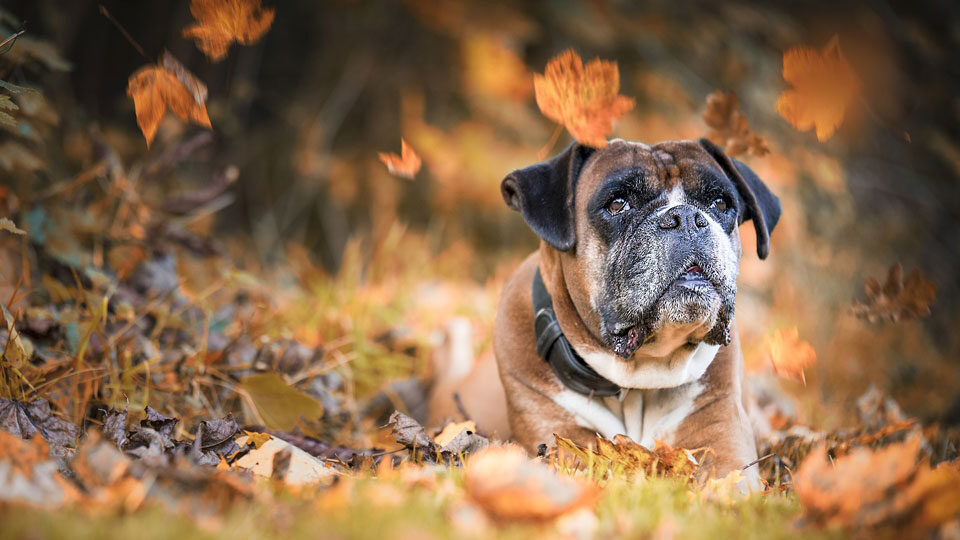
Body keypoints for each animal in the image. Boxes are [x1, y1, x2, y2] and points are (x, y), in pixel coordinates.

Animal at [488, 137, 780, 478]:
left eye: (720, 203)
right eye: (618, 204)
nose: (686, 218)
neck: (641, 377)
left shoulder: (723, 440)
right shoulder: (561, 438)